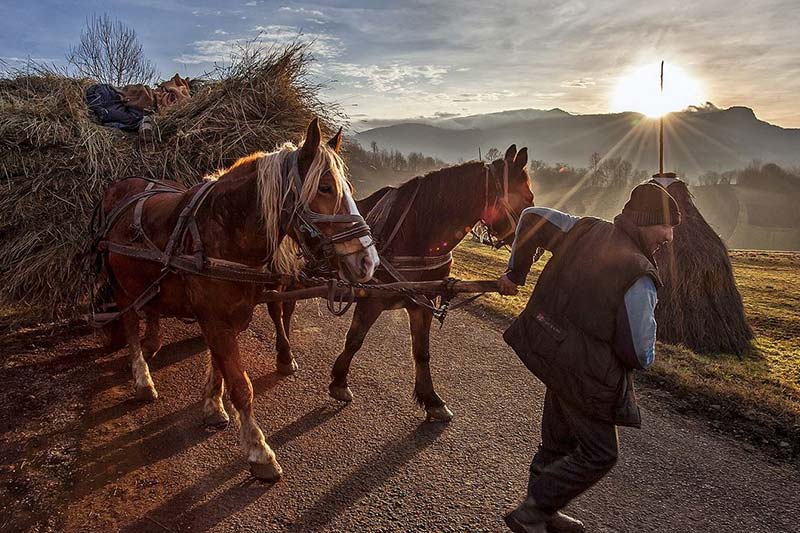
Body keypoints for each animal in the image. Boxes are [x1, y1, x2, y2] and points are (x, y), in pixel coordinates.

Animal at [93, 118, 378, 480]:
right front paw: (259, 451)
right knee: (129, 324)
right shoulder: (216, 320)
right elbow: (242, 387)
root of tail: (122, 188)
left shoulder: (224, 317)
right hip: (120, 286)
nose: (368, 261)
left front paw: (213, 405)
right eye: (325, 187)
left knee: (150, 311)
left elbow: (218, 364)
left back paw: (152, 343)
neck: (220, 232)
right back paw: (142, 378)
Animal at [266, 144, 536, 420]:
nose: (535, 252)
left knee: (287, 309)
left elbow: (422, 352)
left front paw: (431, 398)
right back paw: (284, 354)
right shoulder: (372, 299)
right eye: (528, 198)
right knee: (276, 308)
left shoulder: (423, 302)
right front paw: (340, 382)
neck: (416, 233)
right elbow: (355, 340)